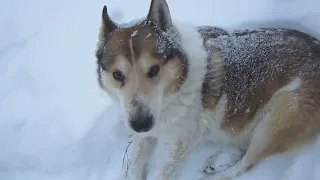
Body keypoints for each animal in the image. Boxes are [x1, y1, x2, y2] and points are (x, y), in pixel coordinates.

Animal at [95, 0, 320, 180]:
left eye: (154, 69)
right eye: (117, 75)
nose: (141, 124)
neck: (175, 90)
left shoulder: (184, 141)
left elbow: (165, 171)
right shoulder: (144, 128)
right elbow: (134, 163)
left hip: (280, 116)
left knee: (246, 164)